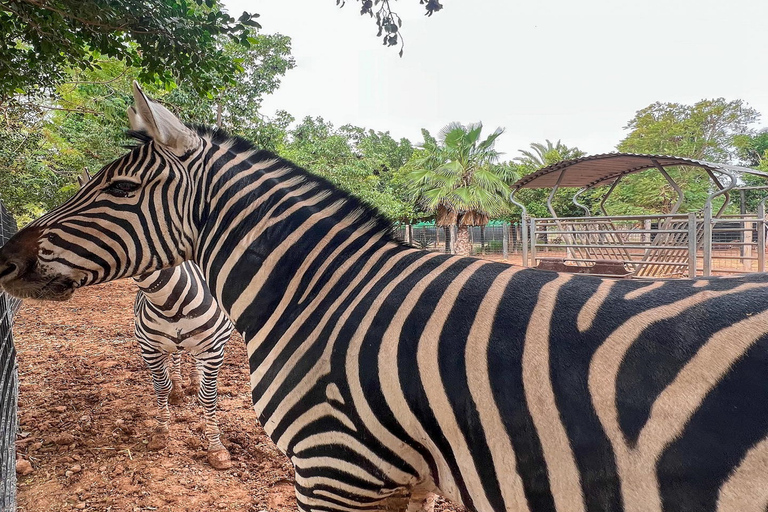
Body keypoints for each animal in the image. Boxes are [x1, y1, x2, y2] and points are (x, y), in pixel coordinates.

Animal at [76, 170, 236, 470]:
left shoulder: (213, 348)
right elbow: (161, 387)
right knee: (177, 358)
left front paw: (216, 447)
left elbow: (209, 397)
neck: (169, 301)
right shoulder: (149, 347)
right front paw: (162, 430)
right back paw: (180, 387)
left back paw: (194, 381)